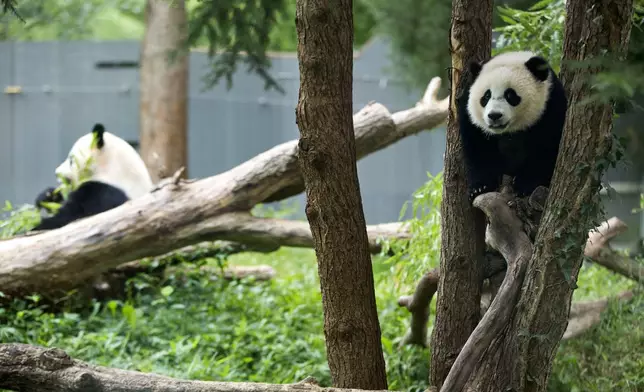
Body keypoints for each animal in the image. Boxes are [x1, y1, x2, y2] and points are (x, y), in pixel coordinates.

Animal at [458, 51, 568, 204]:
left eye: (510, 95)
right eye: (486, 96)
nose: (494, 115)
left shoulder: (550, 107)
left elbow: (546, 148)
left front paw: (525, 185)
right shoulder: (470, 117)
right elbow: (478, 148)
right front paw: (480, 188)